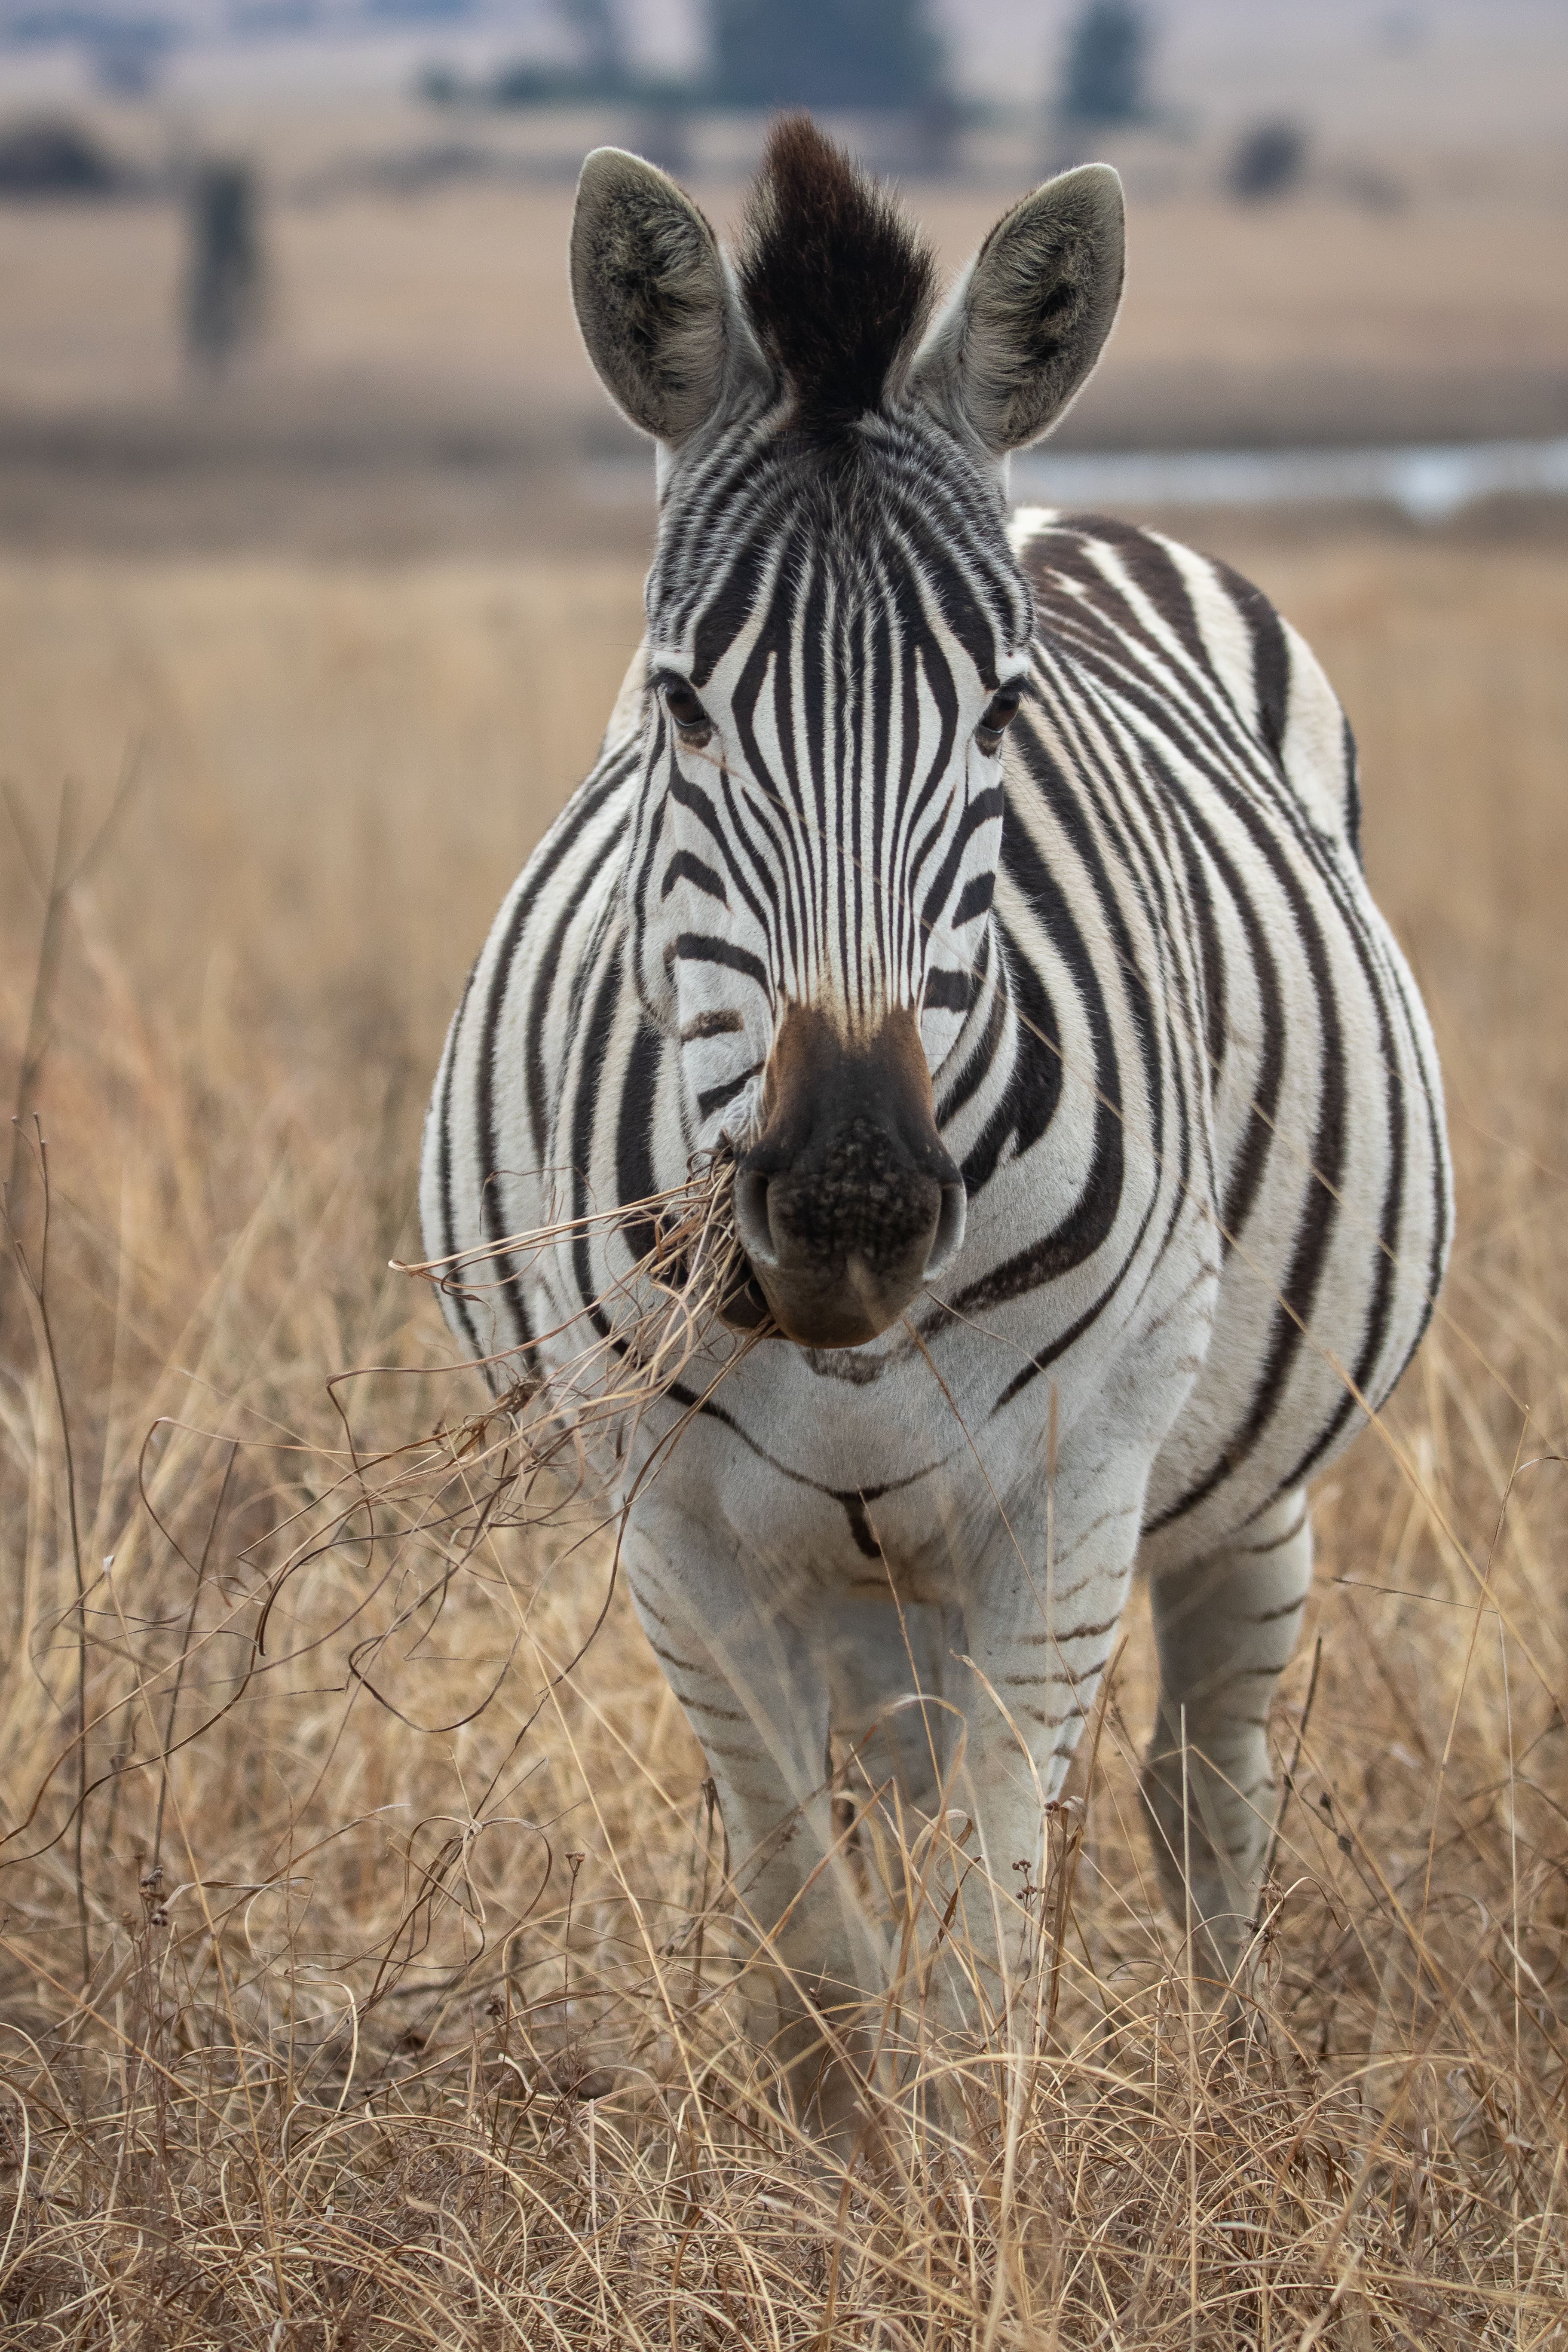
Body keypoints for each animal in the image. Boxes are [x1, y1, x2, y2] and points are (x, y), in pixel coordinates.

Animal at [421, 118, 1450, 2135]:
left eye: (999, 711)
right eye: (678, 703)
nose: (849, 1203)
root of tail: (1070, 510)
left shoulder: (1065, 1499)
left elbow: (981, 1974)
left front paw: (964, 2186)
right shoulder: (674, 1540)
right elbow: (815, 1963)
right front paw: (841, 2180)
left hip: (1243, 1477)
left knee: (1205, 1783)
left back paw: (1231, 2086)